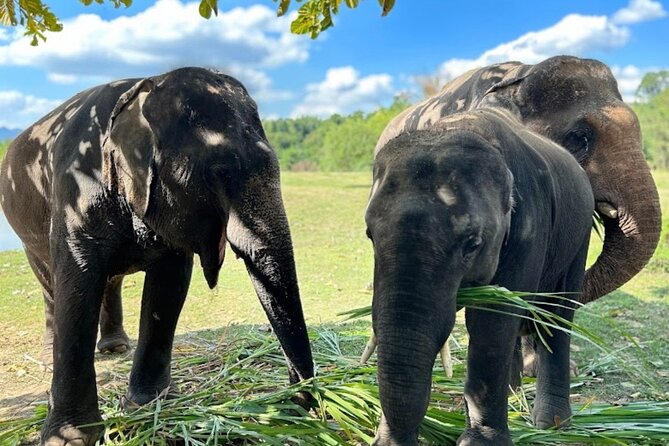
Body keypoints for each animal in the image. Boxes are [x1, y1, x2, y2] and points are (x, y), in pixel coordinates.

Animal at [0, 67, 314, 446]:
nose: (296, 401)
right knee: (50, 282)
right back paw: (52, 350)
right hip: (25, 227)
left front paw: (149, 406)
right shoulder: (74, 189)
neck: (145, 88)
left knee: (110, 280)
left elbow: (169, 284)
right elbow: (77, 284)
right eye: (219, 173)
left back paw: (115, 348)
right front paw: (70, 438)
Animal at [366, 108, 594, 446]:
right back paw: (513, 395)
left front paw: (481, 442)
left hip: (579, 236)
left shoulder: (529, 228)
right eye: (369, 234)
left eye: (472, 243)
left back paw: (551, 424)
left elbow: (492, 322)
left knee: (557, 315)